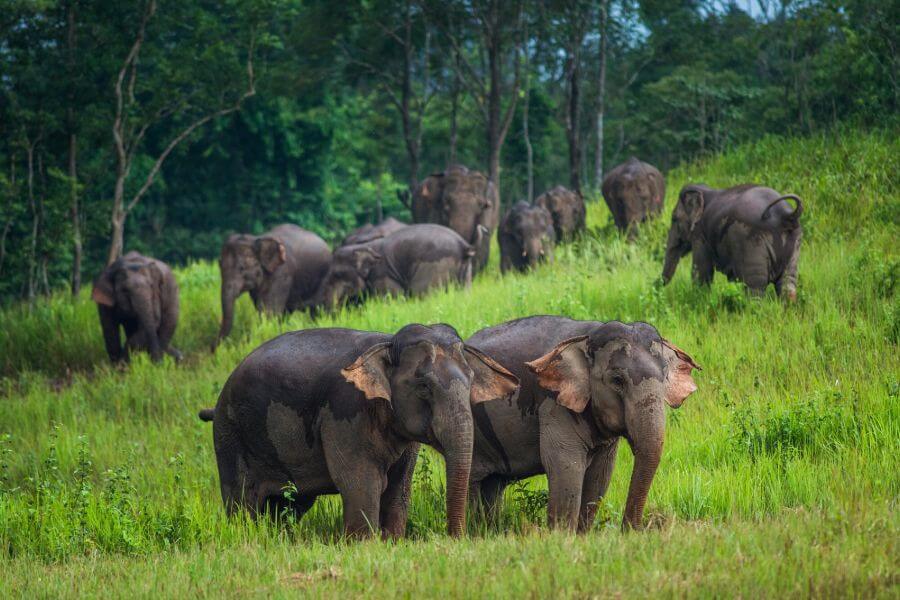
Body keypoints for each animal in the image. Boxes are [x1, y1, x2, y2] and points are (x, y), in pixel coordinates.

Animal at [200, 324, 516, 540]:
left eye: (472, 380)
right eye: (424, 386)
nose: (456, 538)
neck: (387, 343)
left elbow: (399, 486)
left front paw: (392, 542)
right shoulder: (345, 412)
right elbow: (362, 481)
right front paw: (364, 545)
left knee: (290, 505)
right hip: (230, 435)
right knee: (242, 501)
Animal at [310, 224, 478, 310]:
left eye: (337, 274)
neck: (364, 246)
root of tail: (463, 245)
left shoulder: (383, 276)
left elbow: (392, 299)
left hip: (434, 267)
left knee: (423, 294)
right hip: (465, 271)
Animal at [464, 314, 704, 528]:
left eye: (665, 377)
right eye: (617, 380)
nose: (629, 530)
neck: (588, 335)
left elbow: (600, 476)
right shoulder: (554, 404)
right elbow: (566, 468)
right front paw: (561, 539)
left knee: (492, 485)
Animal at [660, 180, 800, 298]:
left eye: (674, 219)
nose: (659, 285)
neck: (703, 190)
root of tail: (787, 216)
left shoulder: (700, 235)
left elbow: (701, 272)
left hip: (751, 243)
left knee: (755, 289)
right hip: (794, 244)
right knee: (787, 284)